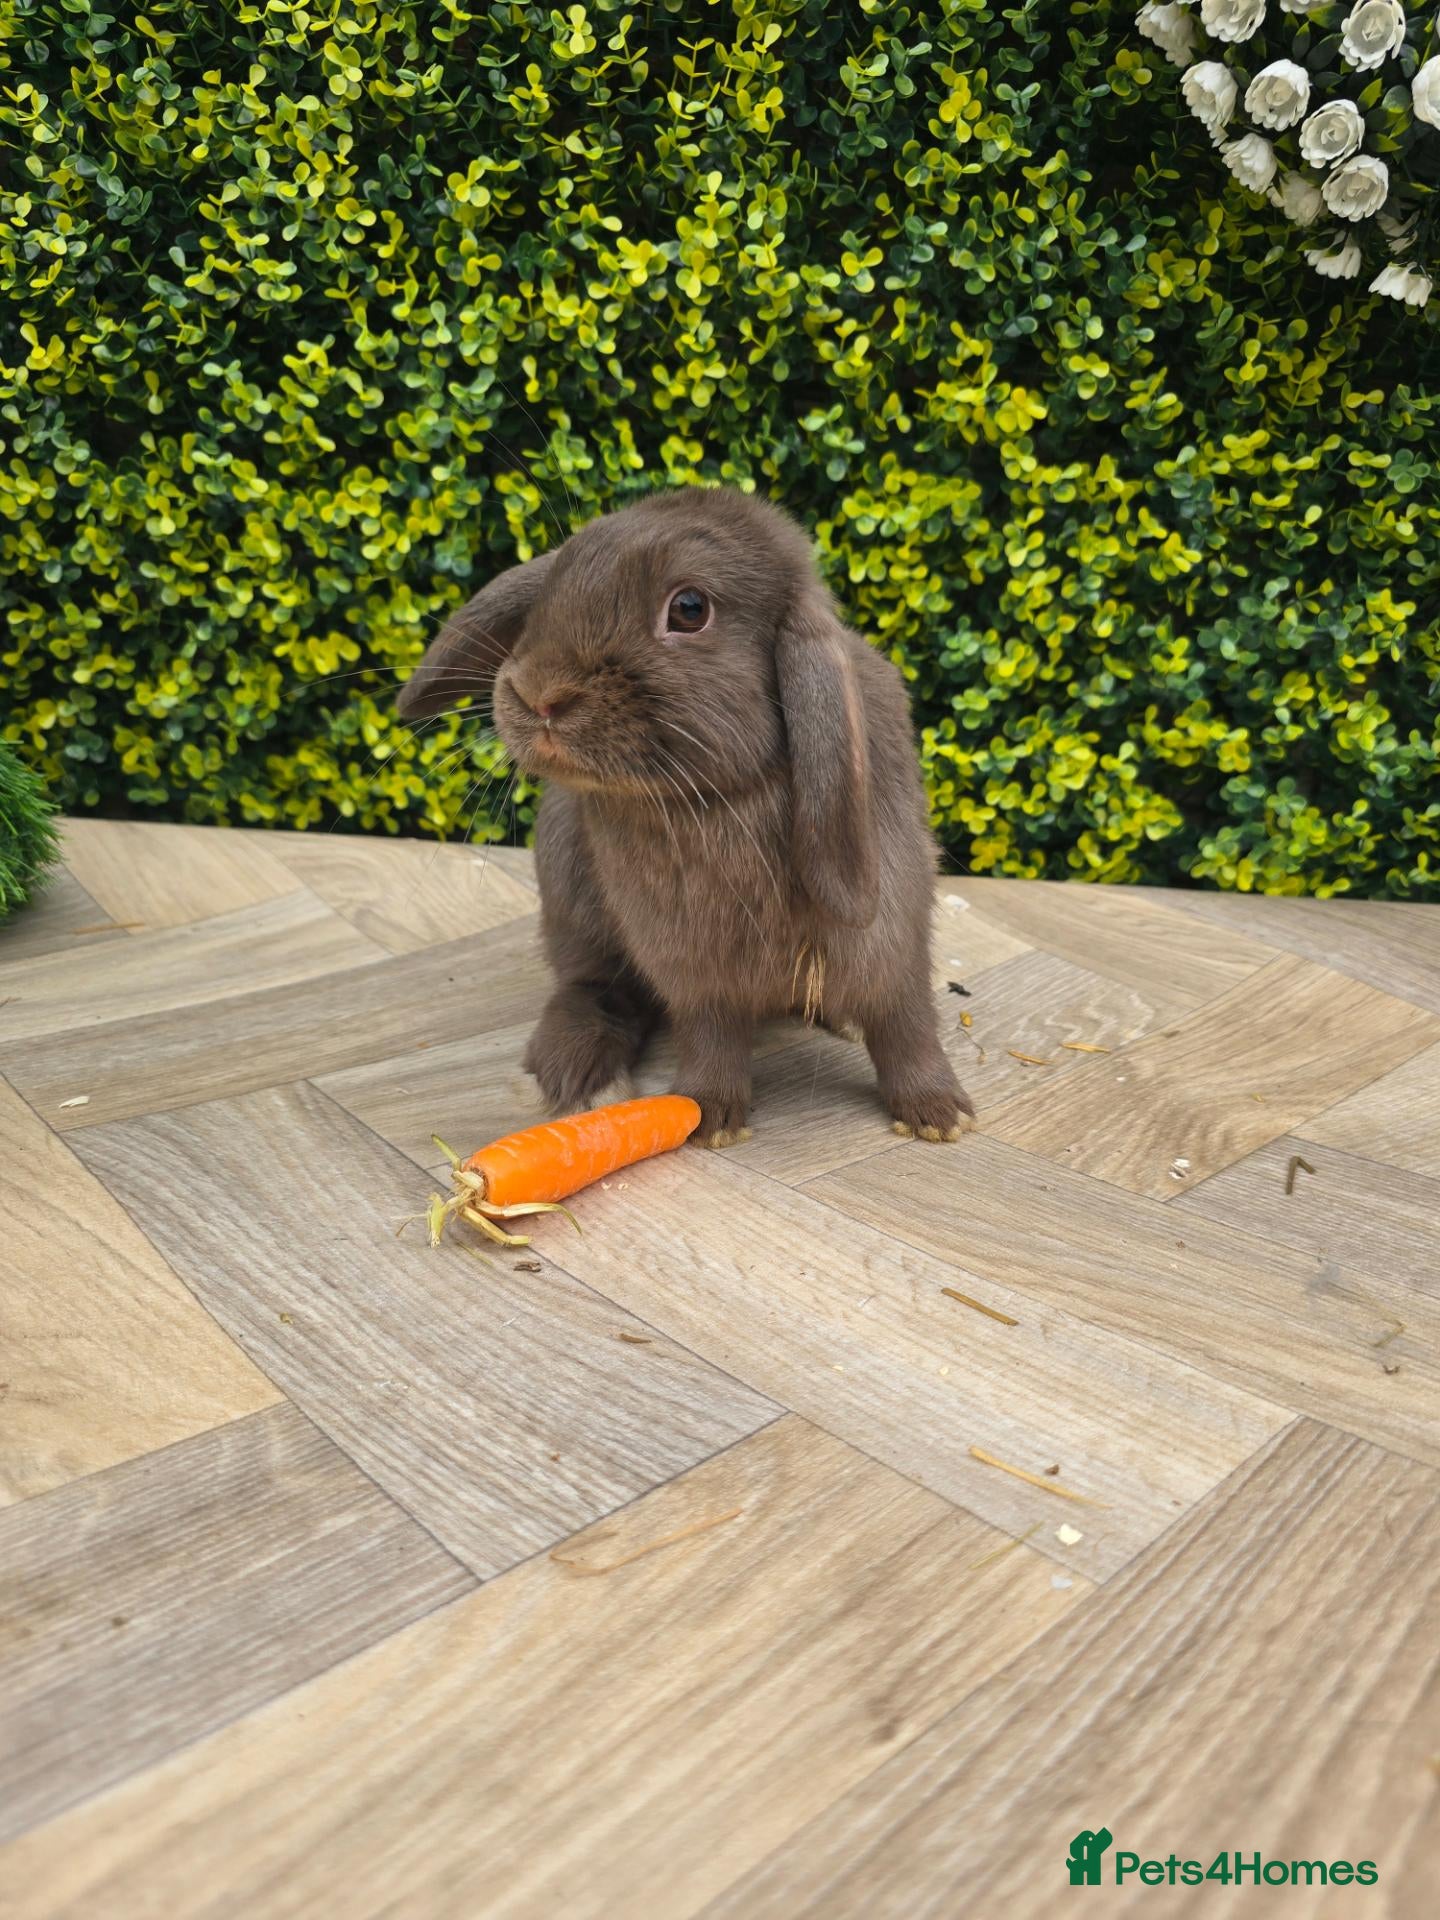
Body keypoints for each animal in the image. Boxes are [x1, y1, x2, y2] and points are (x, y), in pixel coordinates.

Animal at [396, 486, 973, 1147]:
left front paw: (938, 1114)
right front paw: (709, 1115)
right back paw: (575, 1069)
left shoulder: (892, 941)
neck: (716, 799)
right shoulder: (693, 967)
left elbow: (905, 1024)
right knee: (592, 984)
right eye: (550, 592)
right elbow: (709, 1033)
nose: (538, 693)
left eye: (690, 609)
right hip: (569, 893)